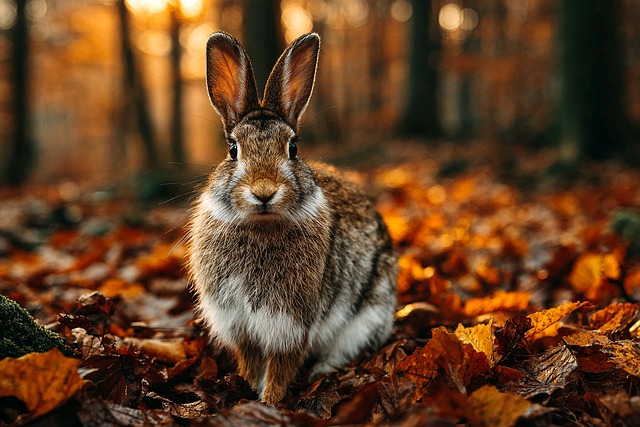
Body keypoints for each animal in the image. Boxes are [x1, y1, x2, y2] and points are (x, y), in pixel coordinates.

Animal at [188, 32, 398, 404]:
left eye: (293, 148)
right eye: (233, 150)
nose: (264, 191)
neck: (261, 225)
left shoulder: (291, 324)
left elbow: (281, 366)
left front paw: (269, 401)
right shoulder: (238, 324)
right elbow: (251, 360)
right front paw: (249, 388)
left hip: (368, 315)